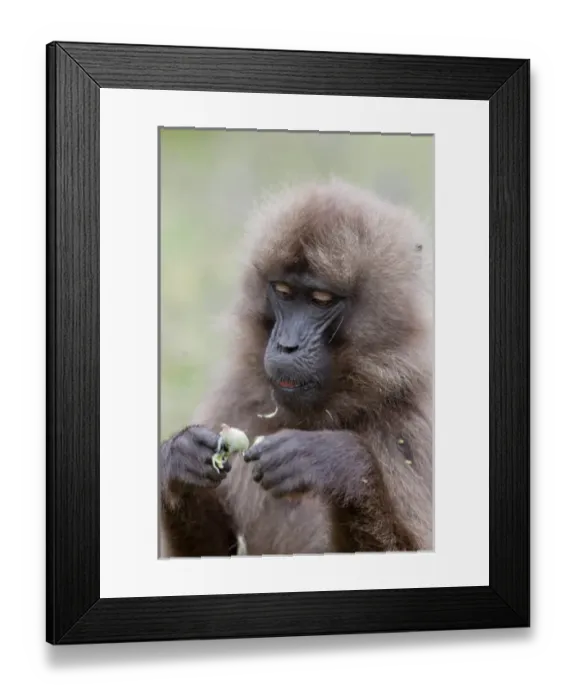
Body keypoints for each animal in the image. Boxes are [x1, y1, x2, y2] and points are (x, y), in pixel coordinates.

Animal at [159, 179, 433, 557]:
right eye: (284, 292)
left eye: (321, 301)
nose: (287, 345)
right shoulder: (239, 397)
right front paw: (181, 460)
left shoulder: (412, 423)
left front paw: (334, 464)